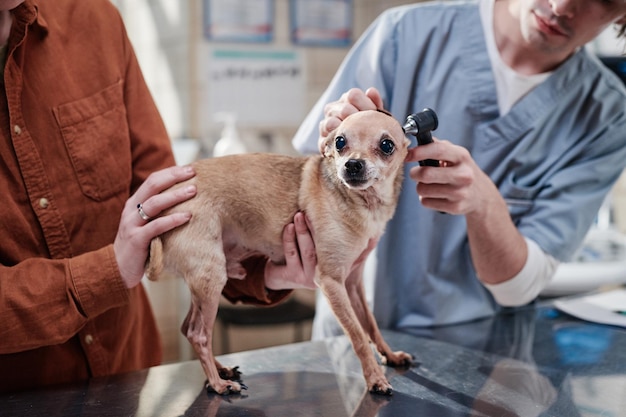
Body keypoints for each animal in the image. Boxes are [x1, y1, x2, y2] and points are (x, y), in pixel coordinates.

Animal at [144, 109, 412, 394]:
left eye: (387, 145)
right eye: (340, 142)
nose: (352, 164)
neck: (365, 203)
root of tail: (162, 211)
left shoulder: (352, 284)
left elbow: (371, 325)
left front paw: (389, 355)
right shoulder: (332, 282)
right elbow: (358, 334)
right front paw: (374, 378)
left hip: (204, 282)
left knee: (188, 328)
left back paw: (220, 369)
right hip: (211, 278)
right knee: (199, 333)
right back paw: (218, 383)